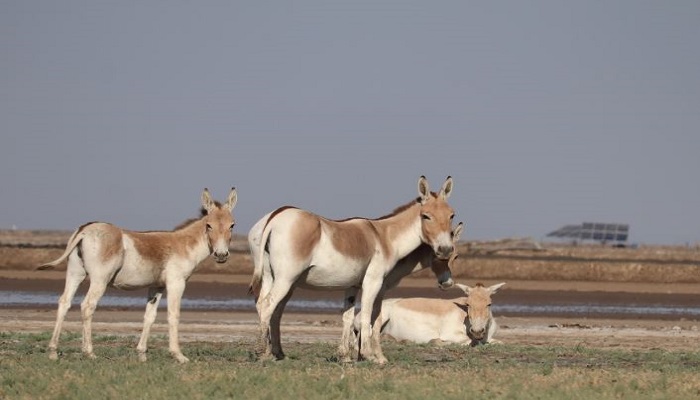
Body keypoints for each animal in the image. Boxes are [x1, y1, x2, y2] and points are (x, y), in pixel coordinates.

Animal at [38, 188, 238, 362]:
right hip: (99, 279)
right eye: (209, 225)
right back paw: (89, 352)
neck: (183, 245)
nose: (221, 255)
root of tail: (85, 229)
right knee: (87, 306)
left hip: (75, 273)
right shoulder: (176, 283)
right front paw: (178, 355)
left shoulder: (156, 286)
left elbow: (149, 317)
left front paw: (142, 354)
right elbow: (173, 315)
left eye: (232, 225)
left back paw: (53, 352)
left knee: (64, 303)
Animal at [249, 177, 456, 364]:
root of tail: (275, 217)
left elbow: (347, 318)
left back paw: (276, 353)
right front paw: (370, 355)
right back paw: (263, 353)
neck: (384, 237)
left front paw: (345, 356)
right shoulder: (374, 282)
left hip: (271, 276)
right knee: (267, 306)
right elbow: (367, 316)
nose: (445, 249)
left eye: (451, 215)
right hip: (286, 278)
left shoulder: (352, 285)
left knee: (267, 307)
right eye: (426, 216)